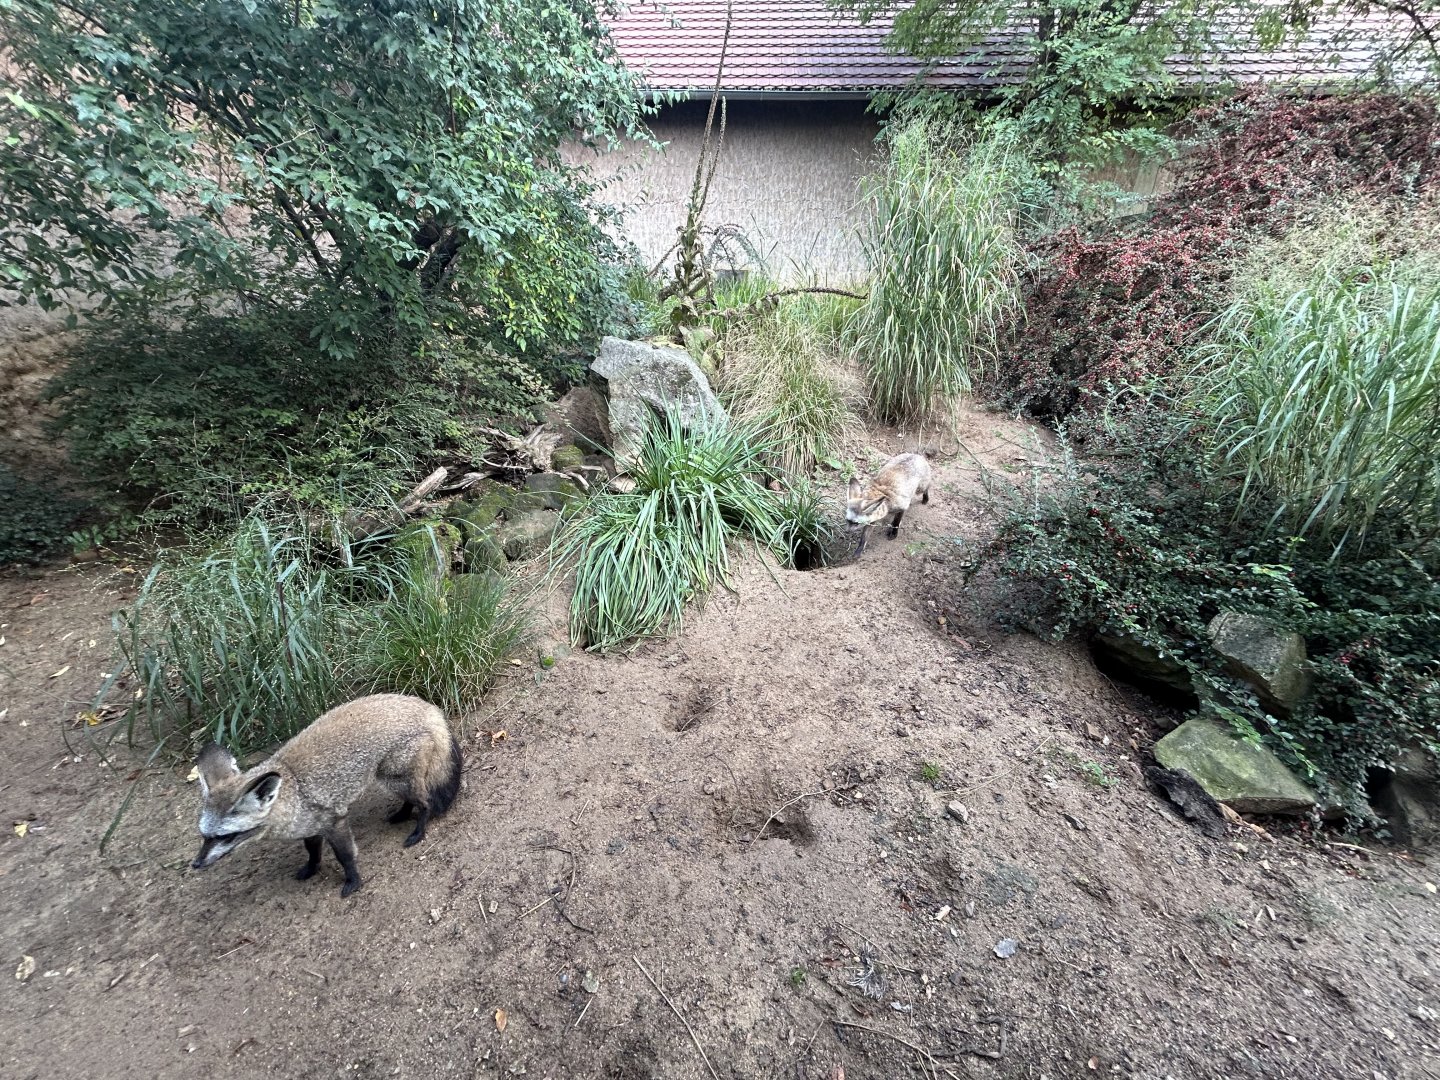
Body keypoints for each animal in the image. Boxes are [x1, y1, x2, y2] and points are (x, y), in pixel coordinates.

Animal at [190, 693, 462, 898]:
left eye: (225, 836)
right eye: (205, 836)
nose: (195, 864)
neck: (293, 789)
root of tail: (428, 708)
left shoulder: (335, 822)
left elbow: (346, 857)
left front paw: (353, 882)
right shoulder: (311, 827)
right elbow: (312, 852)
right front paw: (311, 869)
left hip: (395, 779)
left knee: (425, 803)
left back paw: (417, 832)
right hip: (392, 780)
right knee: (413, 800)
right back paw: (401, 815)